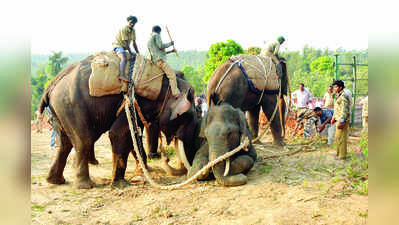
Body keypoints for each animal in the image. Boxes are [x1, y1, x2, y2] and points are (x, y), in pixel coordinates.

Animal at [39, 55, 202, 188]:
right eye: (187, 117)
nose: (166, 158)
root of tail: (51, 86)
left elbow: (134, 135)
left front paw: (144, 170)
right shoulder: (136, 100)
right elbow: (120, 133)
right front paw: (121, 184)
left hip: (61, 109)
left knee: (66, 143)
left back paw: (55, 181)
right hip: (71, 105)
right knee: (84, 140)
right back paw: (85, 186)